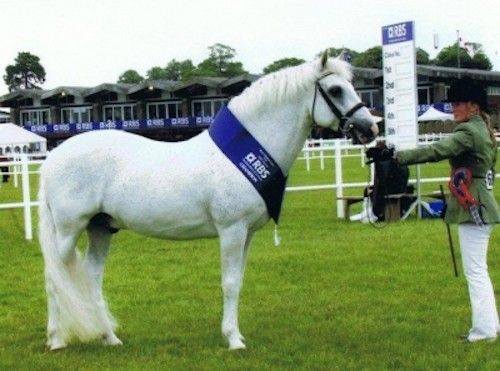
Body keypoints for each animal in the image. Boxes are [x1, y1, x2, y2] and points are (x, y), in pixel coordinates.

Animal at [39, 53, 376, 352]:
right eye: (336, 90)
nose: (370, 128)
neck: (244, 155)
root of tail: (52, 158)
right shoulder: (232, 230)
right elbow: (229, 283)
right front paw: (234, 340)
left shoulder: (247, 234)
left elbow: (238, 282)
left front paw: (235, 333)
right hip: (68, 231)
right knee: (55, 278)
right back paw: (56, 340)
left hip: (101, 229)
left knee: (90, 279)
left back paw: (109, 337)